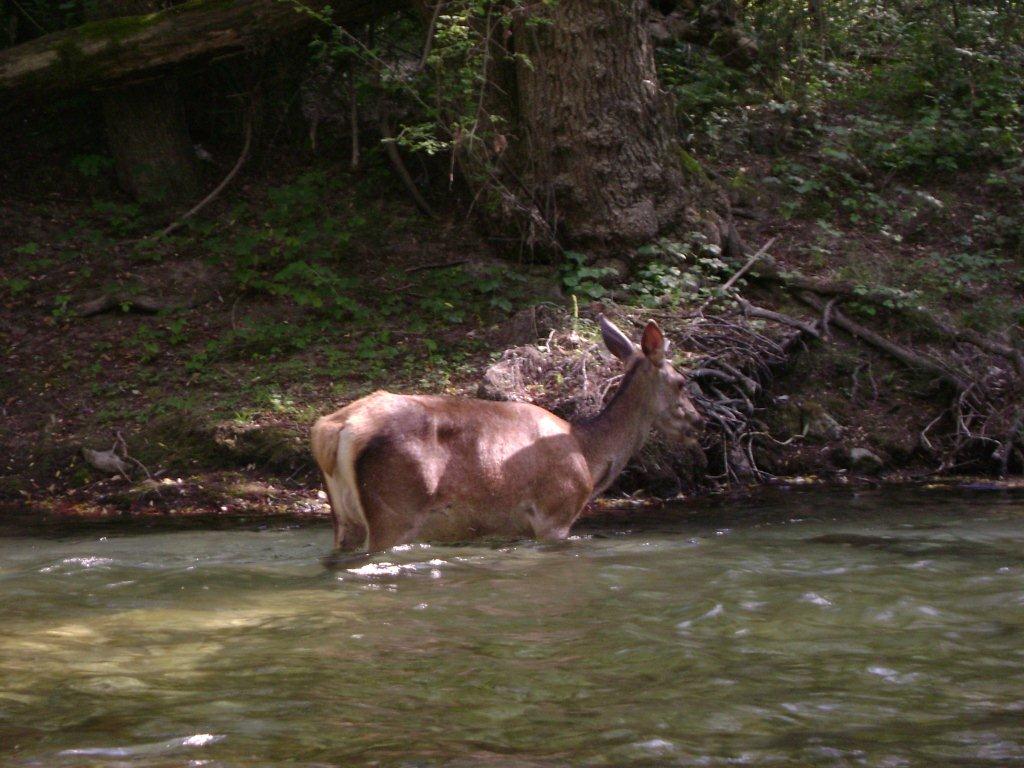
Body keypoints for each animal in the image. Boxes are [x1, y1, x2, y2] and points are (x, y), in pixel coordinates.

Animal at [309, 315, 704, 557]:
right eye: (682, 382)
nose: (698, 423)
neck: (589, 456)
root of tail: (335, 429)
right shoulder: (555, 513)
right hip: (394, 509)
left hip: (344, 518)